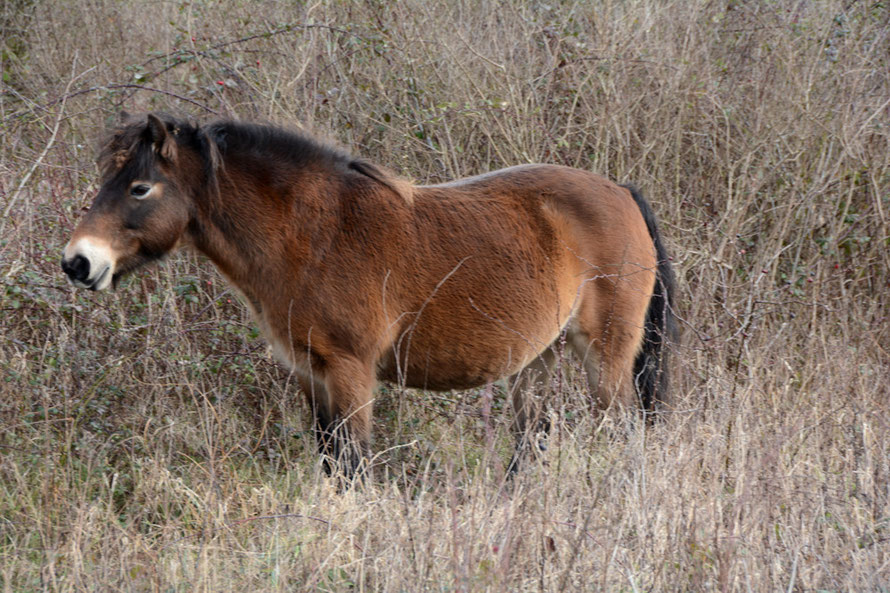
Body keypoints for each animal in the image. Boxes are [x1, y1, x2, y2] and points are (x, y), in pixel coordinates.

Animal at [60, 112, 672, 480]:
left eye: (139, 188)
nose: (77, 262)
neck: (312, 234)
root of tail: (621, 192)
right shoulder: (311, 374)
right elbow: (331, 462)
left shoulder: (351, 372)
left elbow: (353, 465)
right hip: (537, 361)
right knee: (532, 444)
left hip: (606, 359)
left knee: (625, 432)